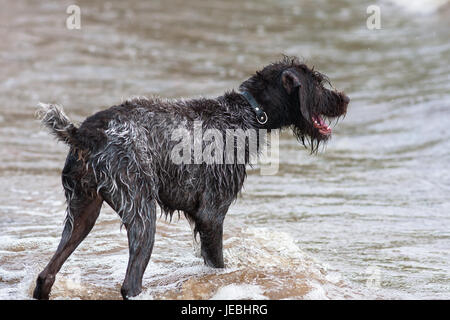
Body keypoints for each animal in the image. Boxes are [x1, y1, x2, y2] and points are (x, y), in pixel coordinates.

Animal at [34, 56, 348, 298]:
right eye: (317, 82)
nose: (345, 100)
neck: (246, 113)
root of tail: (84, 133)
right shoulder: (211, 215)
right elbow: (218, 264)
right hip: (142, 214)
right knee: (129, 285)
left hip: (82, 214)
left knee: (46, 276)